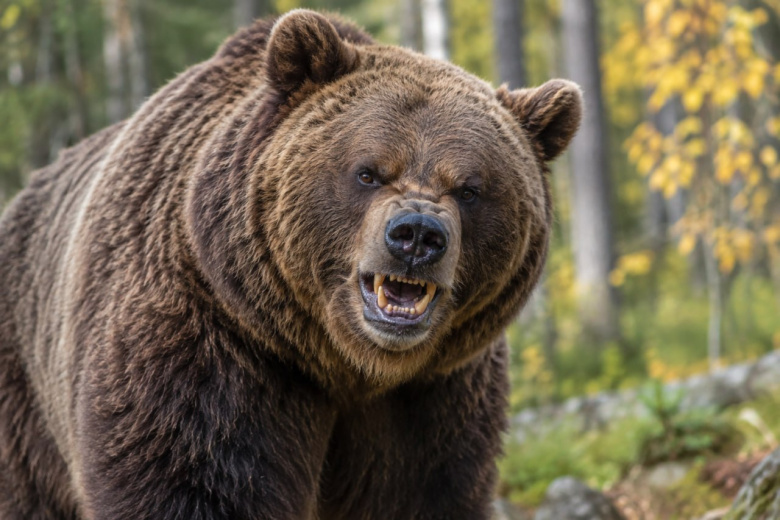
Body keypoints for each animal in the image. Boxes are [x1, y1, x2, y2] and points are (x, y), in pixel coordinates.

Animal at [0, 10, 581, 520]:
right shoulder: (213, 346)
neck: (345, 364)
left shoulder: (433, 398)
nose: (416, 236)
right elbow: (193, 483)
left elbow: (418, 494)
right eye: (368, 171)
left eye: (469, 188)